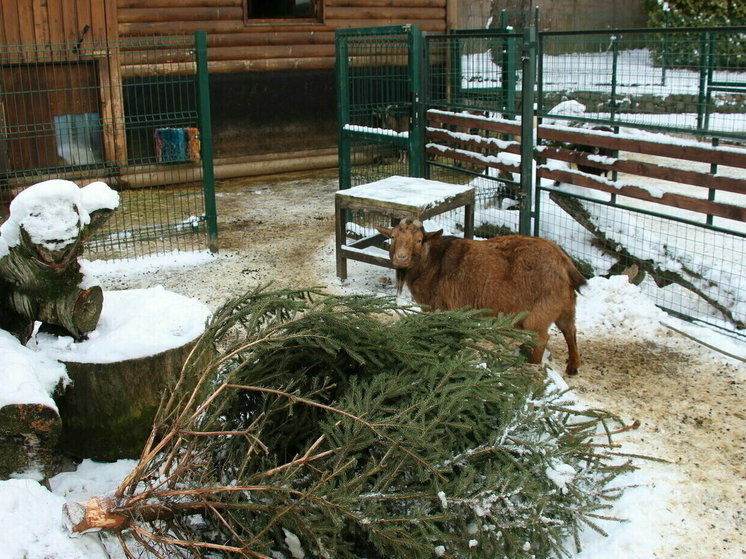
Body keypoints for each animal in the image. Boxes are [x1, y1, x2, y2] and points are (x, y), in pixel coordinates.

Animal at [374, 219, 584, 376]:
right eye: (392, 237)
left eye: (419, 240)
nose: (401, 258)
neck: (434, 263)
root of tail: (565, 264)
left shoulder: (448, 308)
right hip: (565, 306)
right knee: (570, 330)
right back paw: (572, 366)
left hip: (539, 312)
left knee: (542, 338)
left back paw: (531, 365)